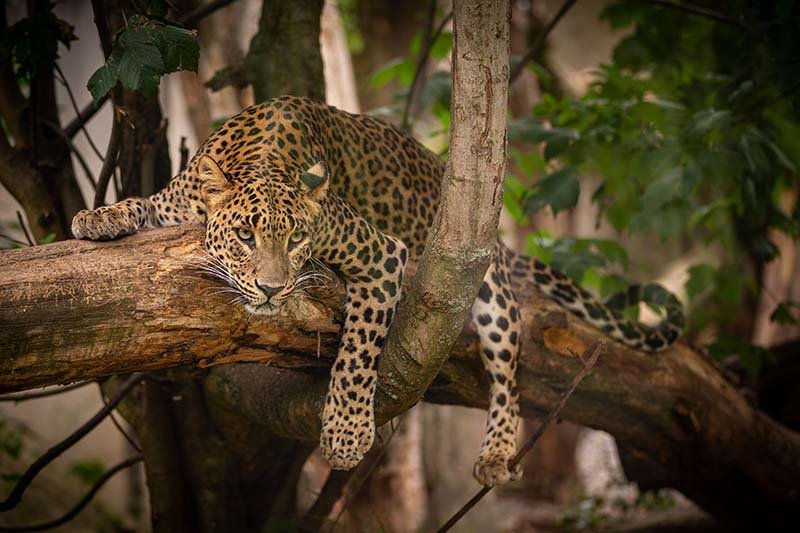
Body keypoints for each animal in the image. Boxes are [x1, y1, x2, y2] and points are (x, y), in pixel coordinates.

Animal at [72, 95, 680, 486]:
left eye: (297, 239)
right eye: (245, 236)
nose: (271, 289)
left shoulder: (381, 254)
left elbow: (358, 353)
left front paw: (345, 434)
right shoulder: (176, 202)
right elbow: (142, 204)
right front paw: (97, 217)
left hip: (484, 286)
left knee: (509, 368)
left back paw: (498, 448)